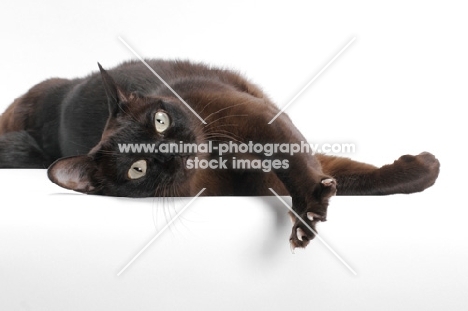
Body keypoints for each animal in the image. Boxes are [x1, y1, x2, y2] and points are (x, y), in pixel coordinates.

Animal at [0, 59, 438, 250]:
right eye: (138, 168)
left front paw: (425, 167)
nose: (172, 150)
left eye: (160, 122)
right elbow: (340, 177)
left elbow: (349, 174)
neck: (218, 164)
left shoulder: (261, 123)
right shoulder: (265, 179)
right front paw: (308, 217)